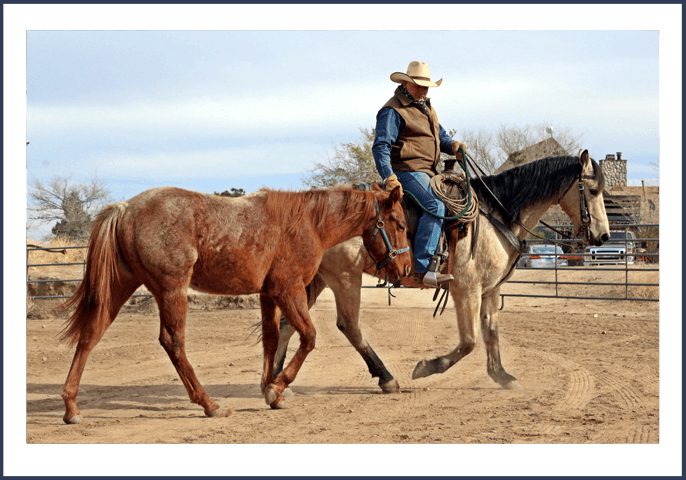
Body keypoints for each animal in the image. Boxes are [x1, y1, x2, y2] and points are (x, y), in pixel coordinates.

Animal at [59, 184, 412, 424]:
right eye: (400, 223)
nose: (406, 268)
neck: (310, 222)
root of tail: (124, 208)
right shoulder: (288, 290)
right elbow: (309, 338)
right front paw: (276, 387)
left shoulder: (269, 294)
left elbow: (272, 340)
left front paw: (272, 391)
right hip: (171, 292)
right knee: (173, 343)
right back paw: (209, 404)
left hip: (119, 288)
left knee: (89, 336)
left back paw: (71, 408)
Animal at [274, 150, 612, 394]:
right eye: (593, 190)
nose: (604, 236)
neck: (497, 215)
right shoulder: (467, 289)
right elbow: (469, 341)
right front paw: (426, 367)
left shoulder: (490, 289)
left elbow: (491, 333)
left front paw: (502, 376)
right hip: (345, 278)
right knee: (350, 326)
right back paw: (387, 378)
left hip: (317, 279)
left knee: (290, 325)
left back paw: (276, 381)